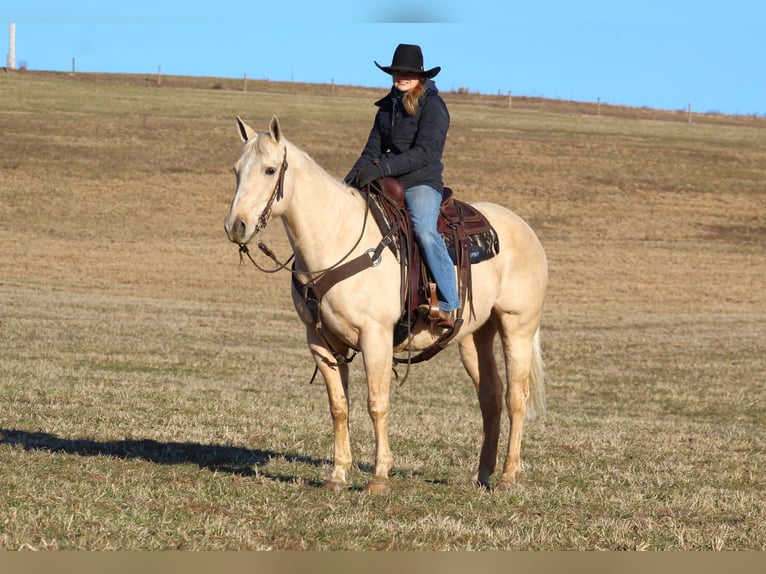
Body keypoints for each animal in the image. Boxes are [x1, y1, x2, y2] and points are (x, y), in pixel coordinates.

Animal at [225, 117, 548, 496]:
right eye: (236, 170)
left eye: (270, 169)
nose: (236, 226)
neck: (336, 239)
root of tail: (525, 229)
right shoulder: (320, 341)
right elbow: (339, 406)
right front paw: (338, 474)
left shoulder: (374, 337)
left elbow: (376, 404)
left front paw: (379, 476)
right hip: (474, 336)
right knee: (491, 397)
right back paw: (482, 474)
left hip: (517, 327)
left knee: (516, 397)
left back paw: (509, 476)